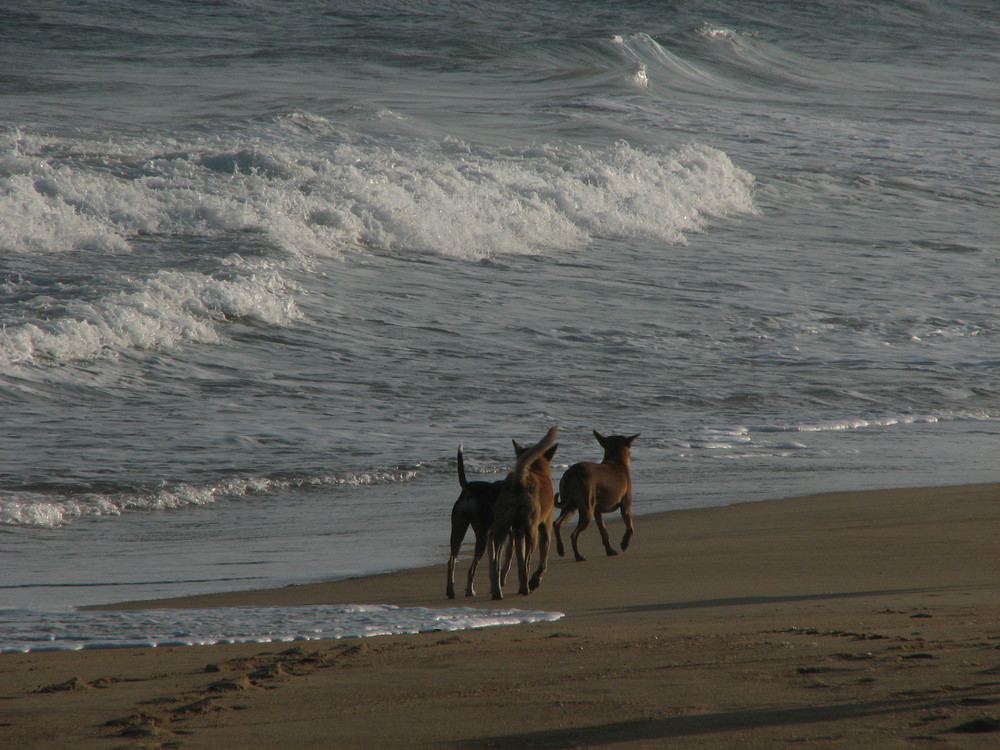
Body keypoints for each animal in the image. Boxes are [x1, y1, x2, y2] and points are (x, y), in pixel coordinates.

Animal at [446, 446, 512, 600]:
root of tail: (470, 489)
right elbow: (506, 560)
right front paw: (500, 583)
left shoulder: (493, 537)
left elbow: (493, 564)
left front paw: (494, 587)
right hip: (481, 537)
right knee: (471, 569)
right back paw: (470, 590)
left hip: (458, 532)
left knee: (451, 561)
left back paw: (451, 591)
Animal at [488, 426, 560, 604]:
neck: (536, 468)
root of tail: (519, 480)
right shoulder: (545, 528)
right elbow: (542, 561)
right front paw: (535, 580)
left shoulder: (516, 533)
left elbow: (518, 560)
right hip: (532, 531)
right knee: (528, 560)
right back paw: (526, 588)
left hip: (501, 530)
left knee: (496, 562)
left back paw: (498, 591)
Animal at [556, 432, 640, 560]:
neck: (616, 461)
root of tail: (572, 472)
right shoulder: (626, 508)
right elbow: (630, 528)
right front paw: (624, 543)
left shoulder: (597, 512)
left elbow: (604, 533)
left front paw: (610, 550)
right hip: (587, 510)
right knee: (574, 535)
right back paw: (578, 556)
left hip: (570, 507)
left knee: (557, 524)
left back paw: (561, 549)